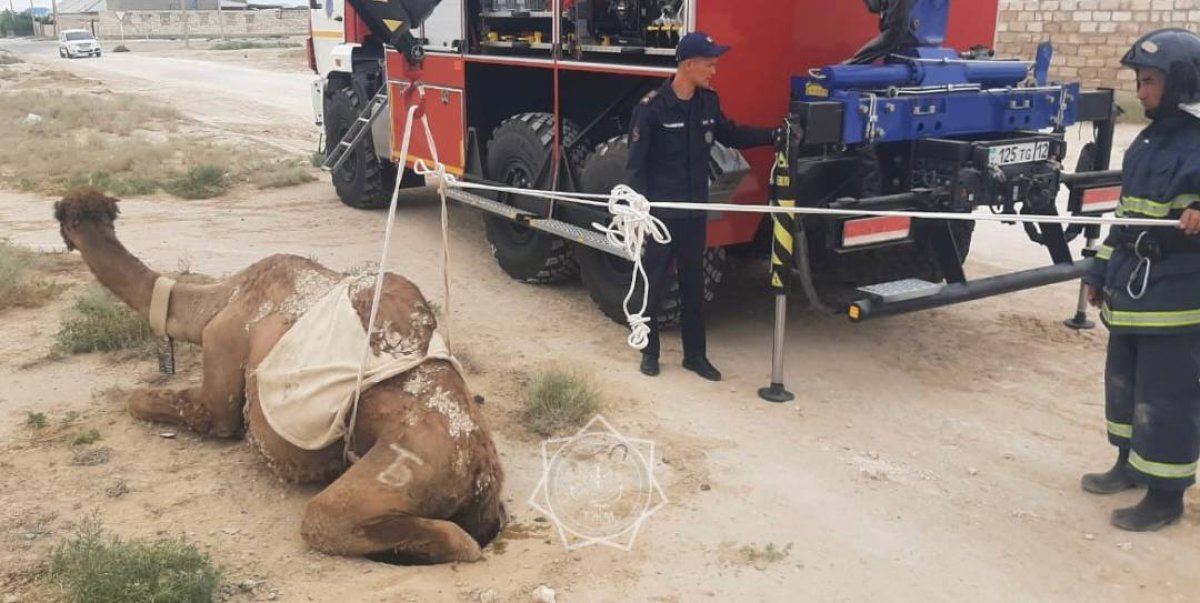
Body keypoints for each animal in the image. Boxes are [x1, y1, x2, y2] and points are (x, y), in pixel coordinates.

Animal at [55, 188, 506, 564]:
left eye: (65, 217)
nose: (67, 228)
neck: (220, 299)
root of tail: (482, 470)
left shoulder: (222, 352)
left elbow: (155, 403)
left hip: (415, 461)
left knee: (340, 520)